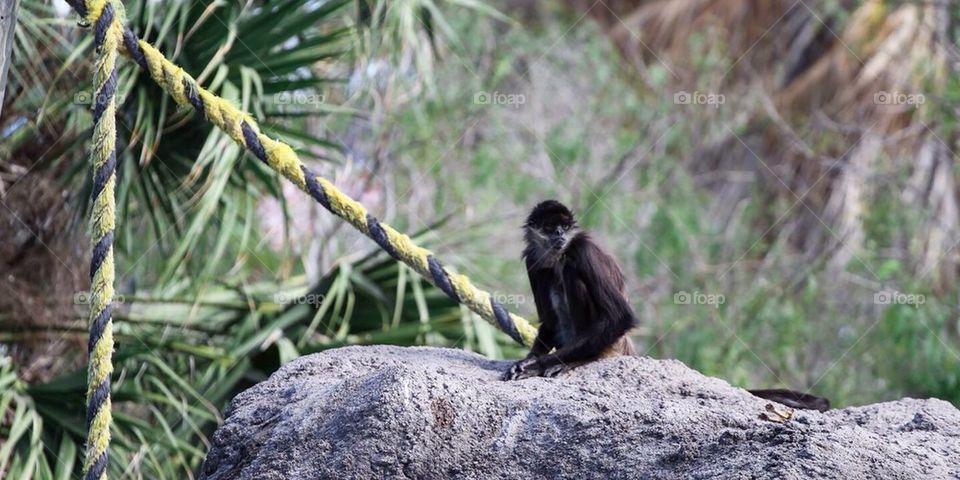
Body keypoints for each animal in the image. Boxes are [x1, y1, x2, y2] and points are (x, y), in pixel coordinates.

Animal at [503, 200, 830, 412]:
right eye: (550, 228)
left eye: (565, 226)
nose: (560, 236)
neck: (556, 255)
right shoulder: (533, 258)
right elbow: (548, 319)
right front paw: (529, 360)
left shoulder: (581, 248)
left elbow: (622, 316)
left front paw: (539, 364)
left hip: (609, 341)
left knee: (574, 274)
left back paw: (580, 359)